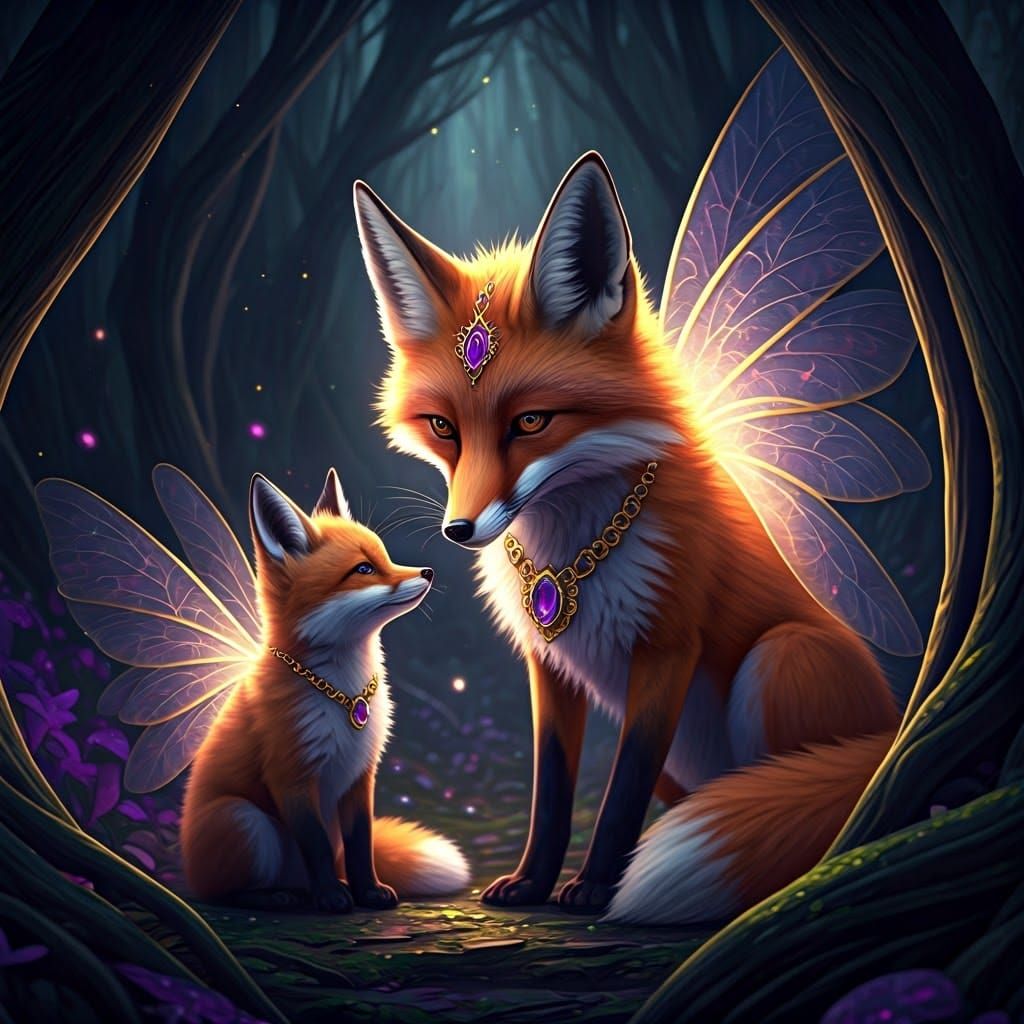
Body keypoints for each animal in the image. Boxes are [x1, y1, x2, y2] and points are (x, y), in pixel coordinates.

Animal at [180, 469, 470, 910]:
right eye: (364, 569)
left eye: (385, 557)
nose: (427, 572)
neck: (343, 694)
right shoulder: (291, 776)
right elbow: (313, 843)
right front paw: (333, 898)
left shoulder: (360, 776)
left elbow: (362, 843)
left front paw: (368, 891)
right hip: (244, 821)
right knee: (225, 893)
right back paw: (279, 897)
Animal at [351, 151, 903, 924]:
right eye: (443, 428)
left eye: (530, 422)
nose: (459, 530)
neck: (573, 557)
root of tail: (888, 736)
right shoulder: (547, 664)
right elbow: (553, 788)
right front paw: (532, 883)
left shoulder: (667, 650)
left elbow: (620, 792)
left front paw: (594, 888)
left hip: (782, 657)